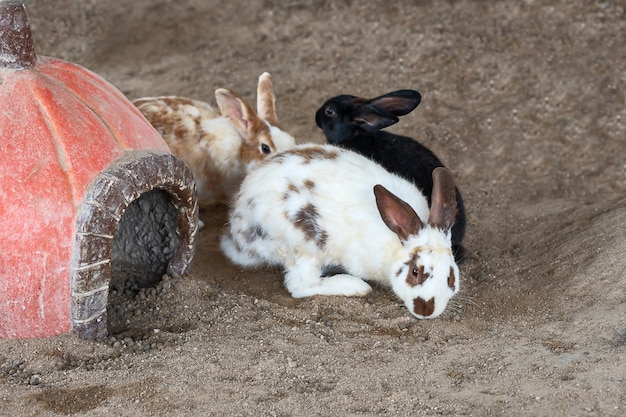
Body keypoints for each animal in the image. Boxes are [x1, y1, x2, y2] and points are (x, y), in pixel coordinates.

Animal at [219, 143, 458, 318]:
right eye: (415, 272)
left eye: (450, 276)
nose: (426, 310)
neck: (395, 242)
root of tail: (239, 227)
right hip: (304, 245)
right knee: (300, 285)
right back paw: (354, 286)